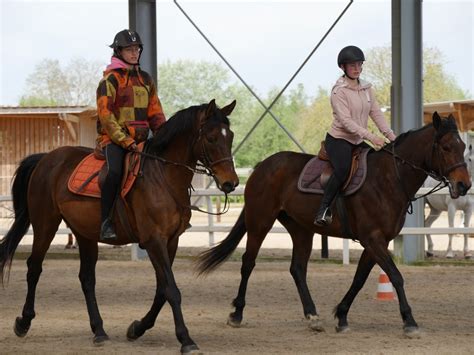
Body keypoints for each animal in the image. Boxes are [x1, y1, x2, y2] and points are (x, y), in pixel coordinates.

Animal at [0, 98, 237, 354]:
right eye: (211, 138)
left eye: (230, 136)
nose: (231, 183)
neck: (162, 176)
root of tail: (46, 159)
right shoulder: (154, 241)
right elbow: (171, 290)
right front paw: (186, 339)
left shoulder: (171, 241)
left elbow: (162, 290)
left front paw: (137, 328)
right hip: (45, 225)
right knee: (34, 268)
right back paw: (23, 322)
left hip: (84, 234)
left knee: (86, 278)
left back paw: (99, 331)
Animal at [196, 112, 470, 338]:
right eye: (446, 147)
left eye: (464, 146)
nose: (464, 185)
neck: (388, 179)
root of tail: (262, 166)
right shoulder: (373, 239)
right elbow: (395, 276)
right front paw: (409, 322)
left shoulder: (375, 242)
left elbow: (359, 279)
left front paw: (342, 315)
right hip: (260, 221)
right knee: (248, 263)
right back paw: (237, 314)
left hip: (301, 229)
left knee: (297, 269)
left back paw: (312, 317)